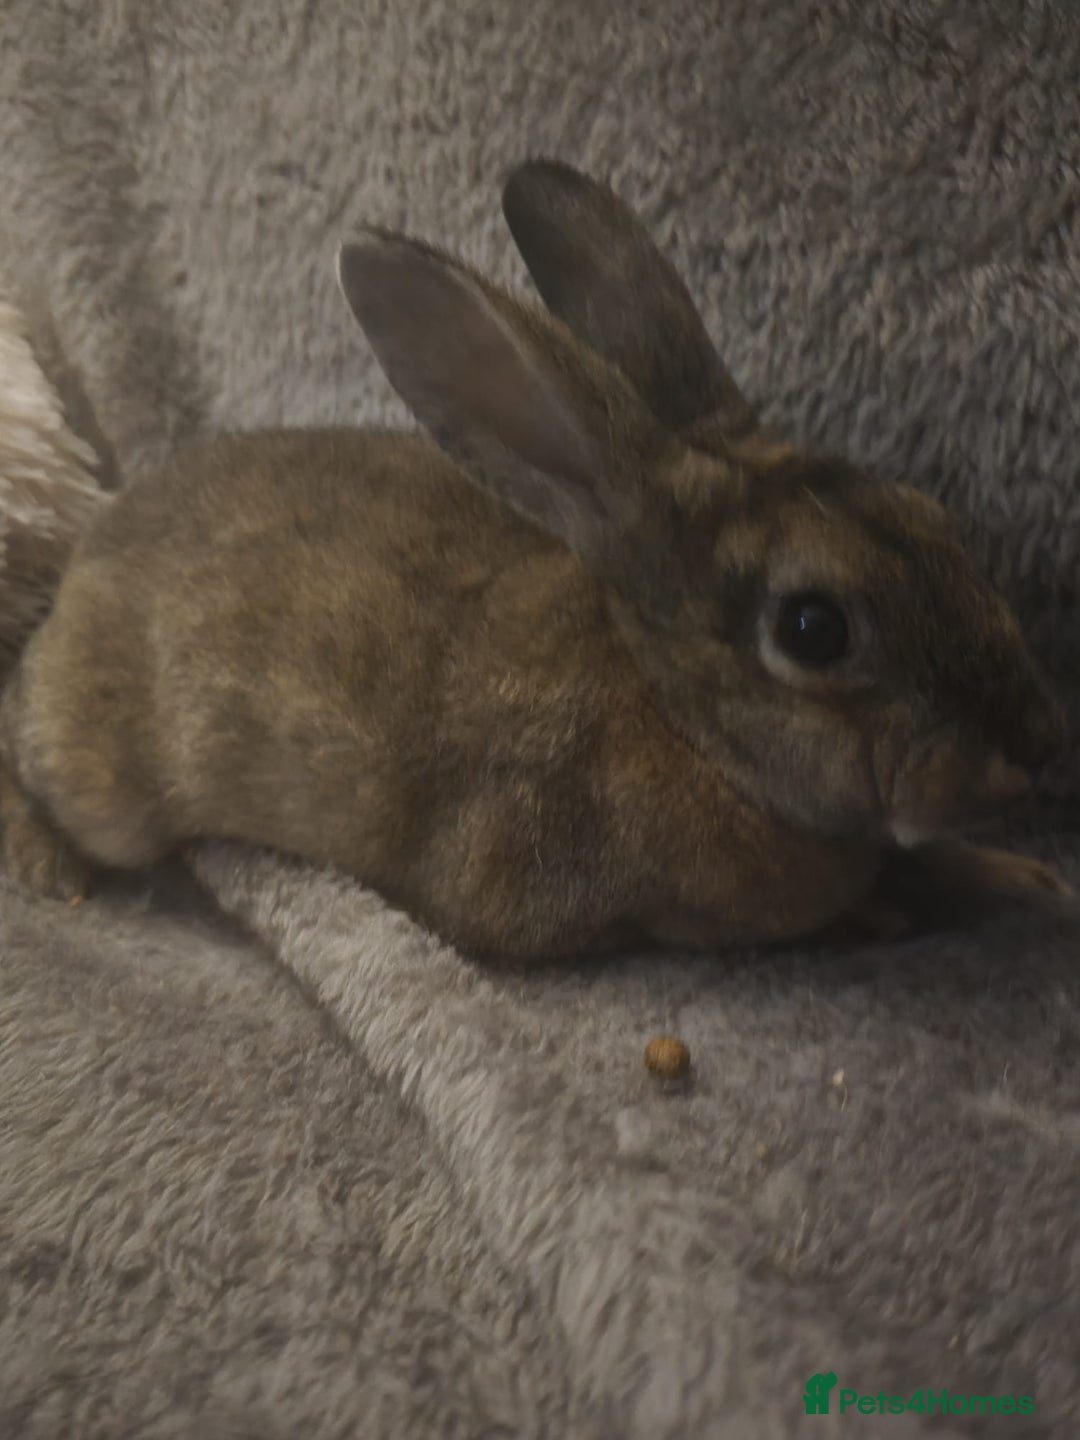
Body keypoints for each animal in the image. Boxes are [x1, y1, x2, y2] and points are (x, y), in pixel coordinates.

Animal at [0, 160, 1071, 962]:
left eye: (929, 517)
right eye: (814, 628)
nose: (1033, 750)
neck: (678, 717)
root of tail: (81, 572)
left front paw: (1026, 878)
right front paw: (887, 909)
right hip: (108, 778)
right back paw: (49, 866)